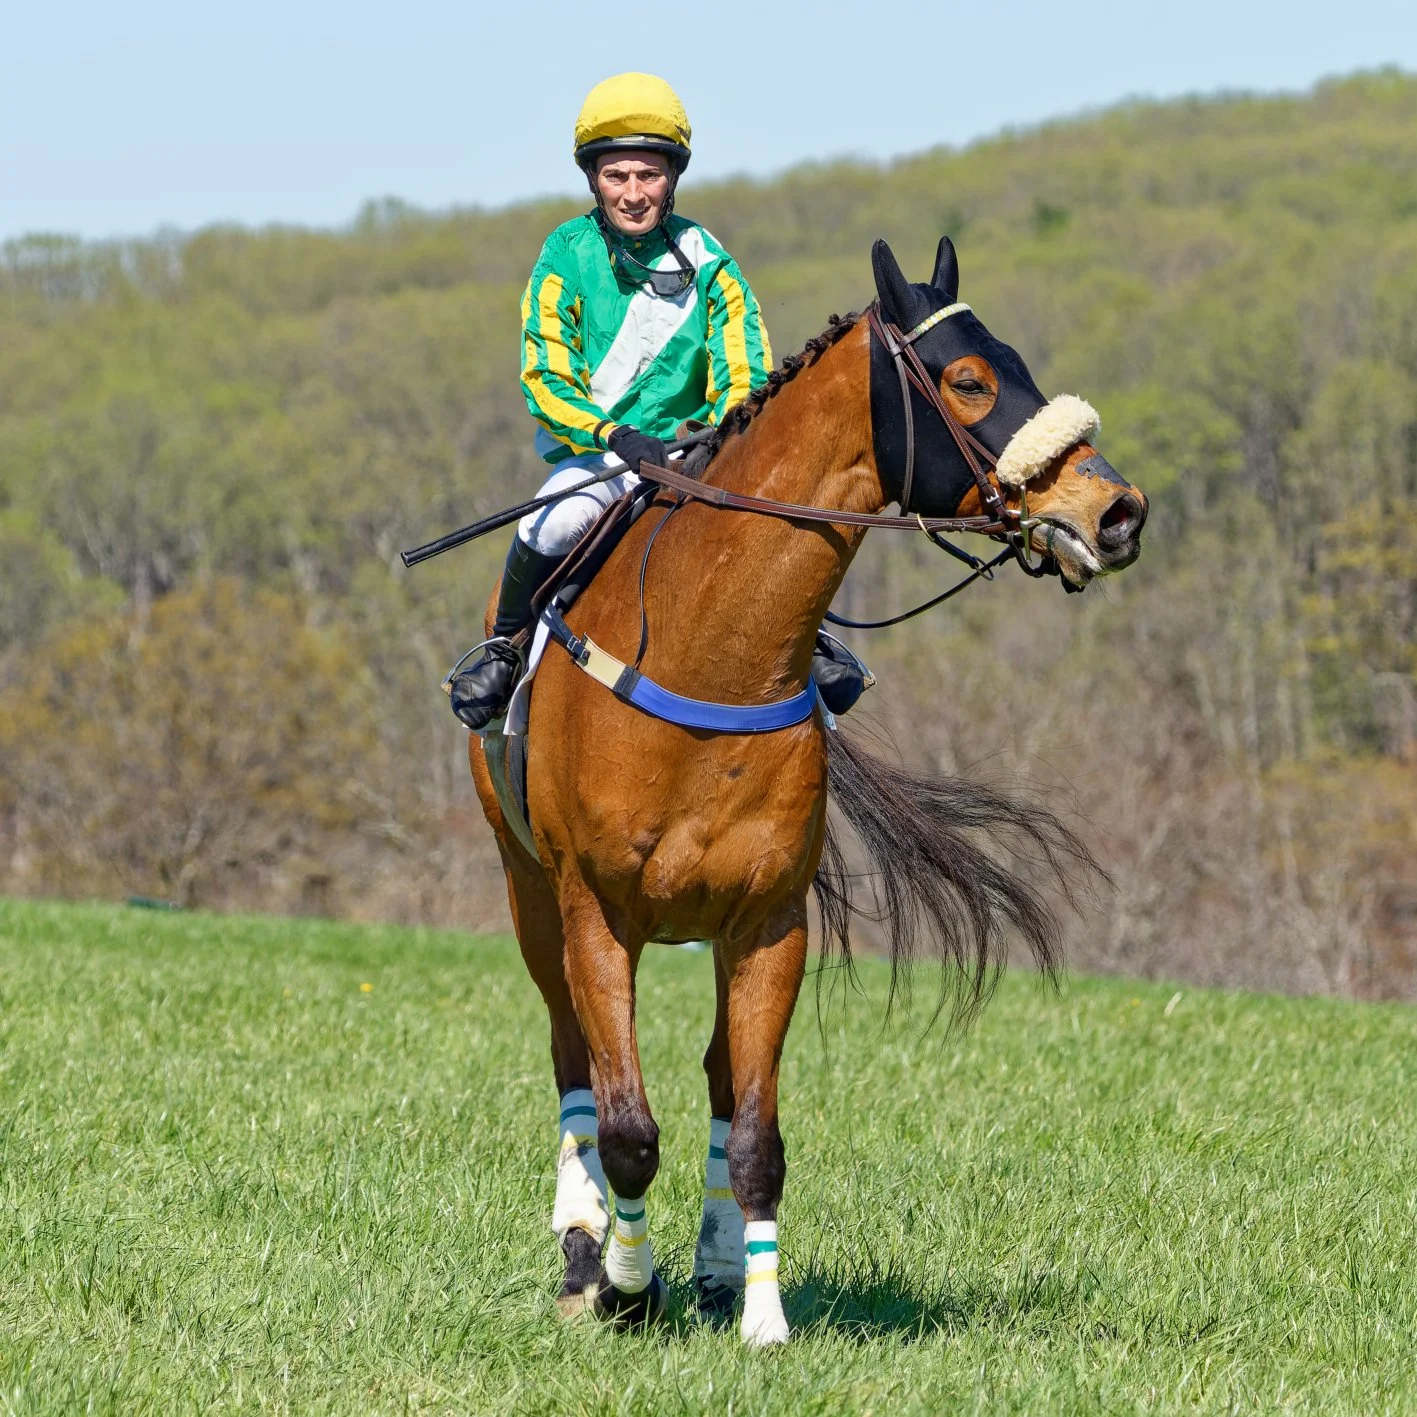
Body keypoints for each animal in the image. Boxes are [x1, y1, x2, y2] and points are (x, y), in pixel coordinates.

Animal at [467, 233, 1148, 1346]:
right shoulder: (593, 912)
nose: (1117, 508)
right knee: (574, 1067)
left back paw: (706, 1271)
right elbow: (625, 1126)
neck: (711, 656)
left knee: (713, 1080)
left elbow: (754, 1133)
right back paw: (581, 1254)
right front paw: (622, 1284)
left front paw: (758, 1315)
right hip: (530, 895)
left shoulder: (768, 922)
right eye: (969, 378)